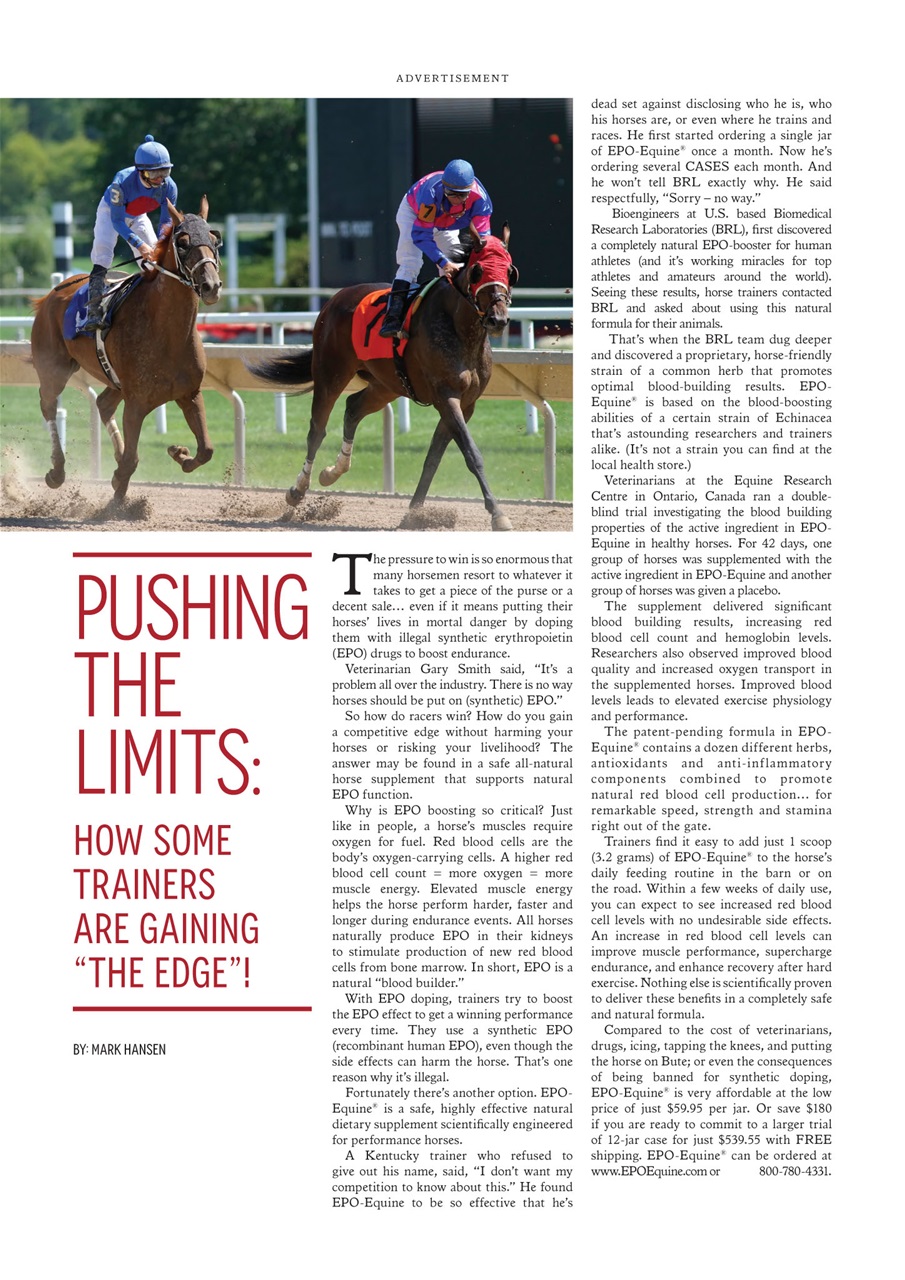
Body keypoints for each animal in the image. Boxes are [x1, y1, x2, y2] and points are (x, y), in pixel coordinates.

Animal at [29, 198, 222, 503]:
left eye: (215, 240)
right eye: (182, 242)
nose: (211, 285)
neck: (167, 332)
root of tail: (49, 295)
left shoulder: (190, 394)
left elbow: (206, 450)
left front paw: (178, 452)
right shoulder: (137, 403)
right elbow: (132, 461)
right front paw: (118, 496)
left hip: (114, 380)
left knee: (103, 403)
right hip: (53, 369)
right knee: (48, 405)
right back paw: (57, 471)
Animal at [249, 224, 518, 530]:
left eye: (510, 271)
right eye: (477, 270)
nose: (498, 319)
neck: (461, 330)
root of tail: (335, 299)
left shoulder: (466, 404)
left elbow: (433, 457)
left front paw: (414, 513)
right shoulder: (446, 396)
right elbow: (472, 454)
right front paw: (497, 513)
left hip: (385, 385)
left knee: (353, 407)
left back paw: (333, 471)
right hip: (331, 372)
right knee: (317, 429)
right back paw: (298, 489)